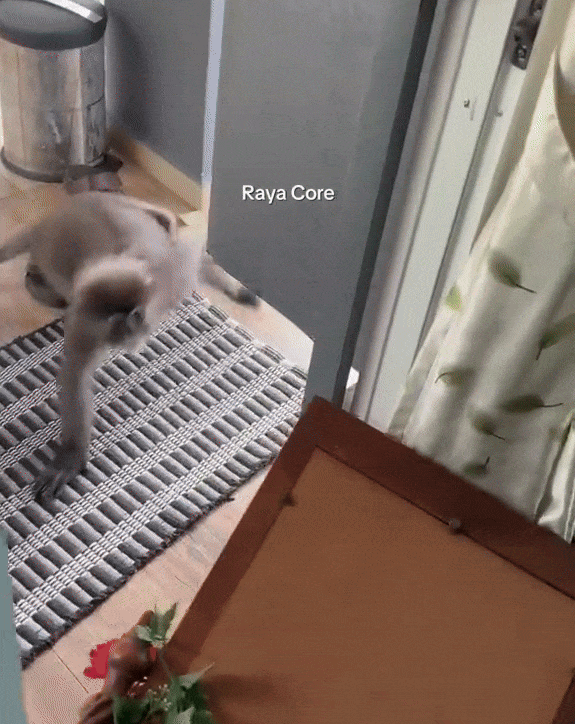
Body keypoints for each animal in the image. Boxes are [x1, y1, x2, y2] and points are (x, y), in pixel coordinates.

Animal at [0, 190, 257, 501]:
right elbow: (75, 375)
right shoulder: (88, 317)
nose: (130, 335)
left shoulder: (167, 280)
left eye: (128, 319)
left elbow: (192, 257)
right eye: (115, 323)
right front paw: (72, 455)